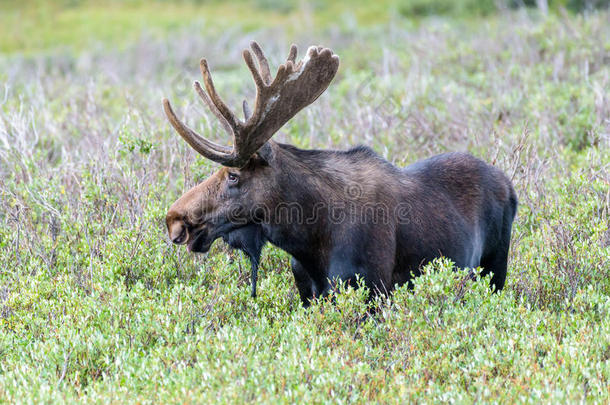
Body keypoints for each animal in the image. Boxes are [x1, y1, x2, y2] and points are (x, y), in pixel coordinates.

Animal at [162, 41, 512, 306]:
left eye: (233, 175)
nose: (174, 220)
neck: (309, 239)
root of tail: (509, 185)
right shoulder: (308, 294)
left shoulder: (372, 290)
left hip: (495, 271)